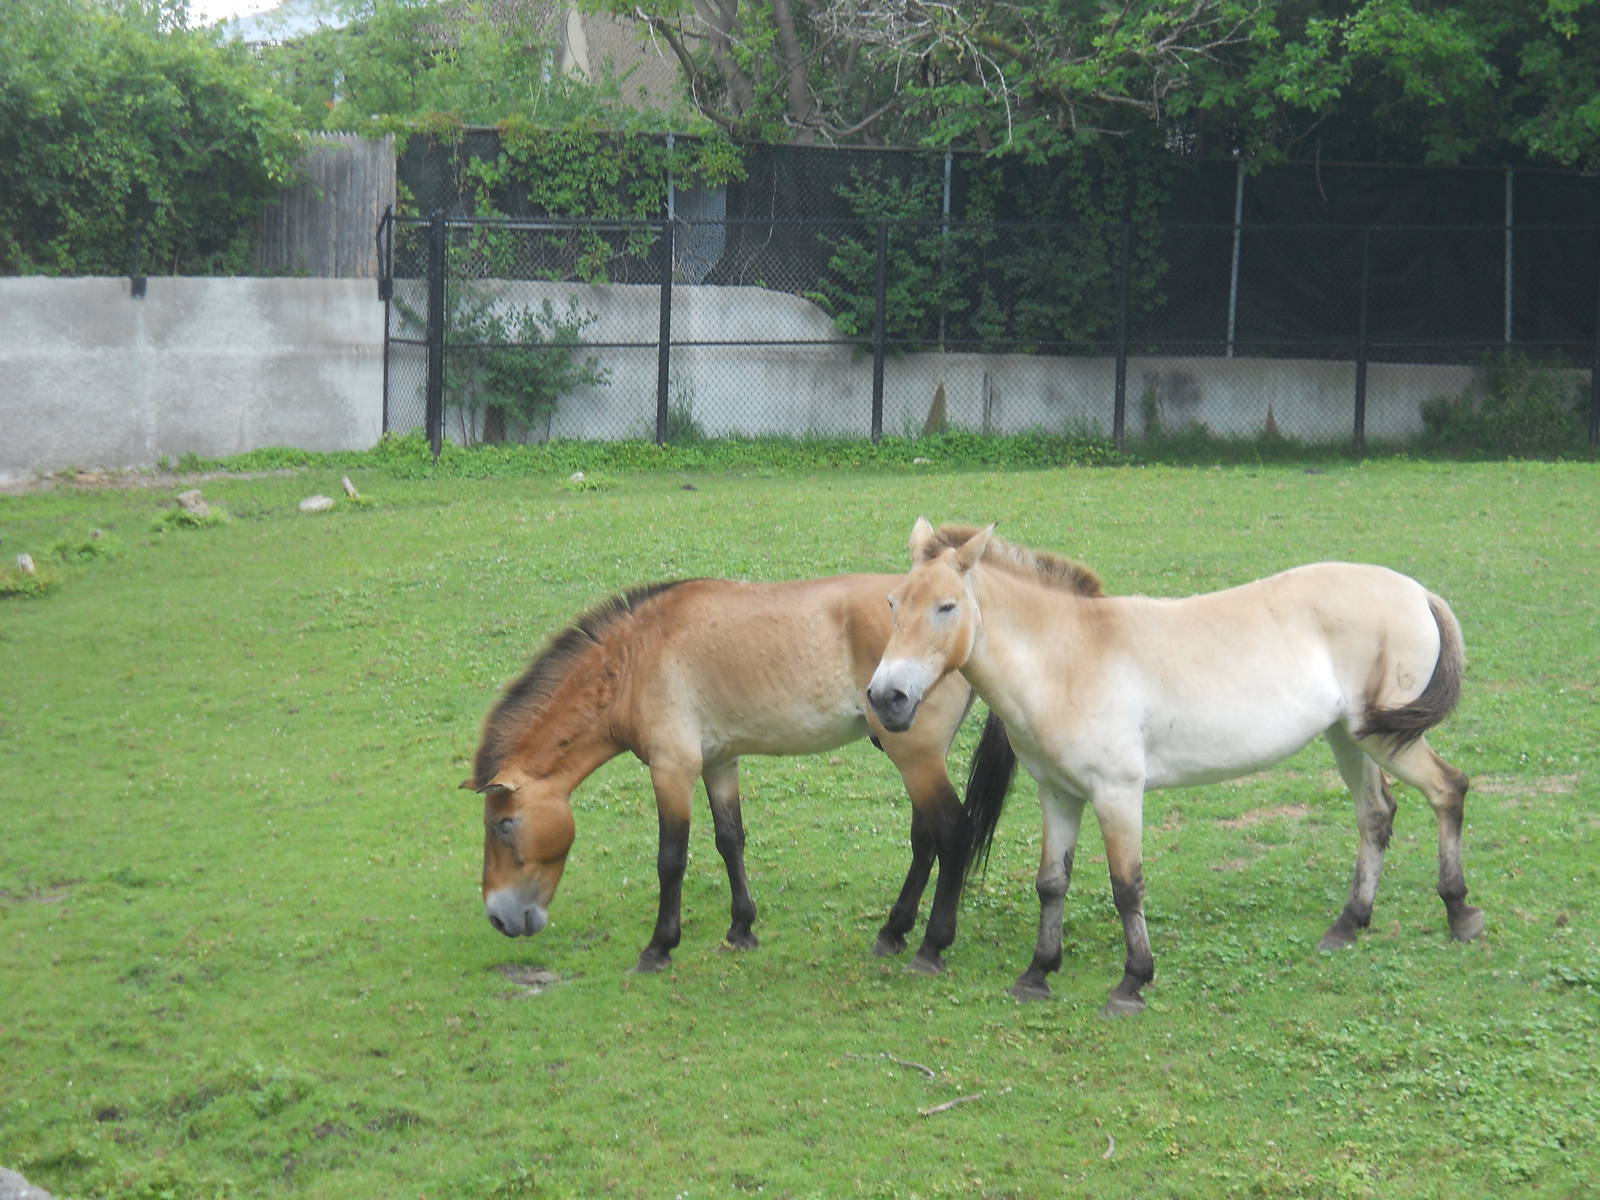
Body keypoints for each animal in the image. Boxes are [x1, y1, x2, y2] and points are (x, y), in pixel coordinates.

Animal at [463, 572, 1062, 974]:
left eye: (503, 825)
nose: (497, 918)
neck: (635, 659)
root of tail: (970, 631)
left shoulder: (672, 768)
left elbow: (671, 859)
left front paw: (659, 947)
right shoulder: (718, 762)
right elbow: (731, 840)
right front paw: (741, 927)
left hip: (914, 756)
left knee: (952, 832)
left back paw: (932, 944)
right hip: (915, 758)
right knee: (925, 839)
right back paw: (893, 930)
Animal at [866, 519, 1482, 1016]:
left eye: (947, 606)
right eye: (892, 604)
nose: (886, 698)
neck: (1069, 658)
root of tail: (1415, 592)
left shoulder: (1117, 793)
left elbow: (1126, 886)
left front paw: (1132, 983)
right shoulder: (1057, 793)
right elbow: (1051, 883)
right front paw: (1037, 973)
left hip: (1383, 739)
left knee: (1448, 790)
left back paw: (1459, 914)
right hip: (1351, 738)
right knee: (1376, 816)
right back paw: (1348, 925)